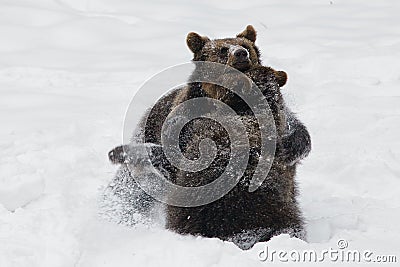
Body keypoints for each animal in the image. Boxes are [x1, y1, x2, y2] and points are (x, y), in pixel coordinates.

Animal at [105, 26, 310, 250]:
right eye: (222, 49)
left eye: (246, 46)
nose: (241, 54)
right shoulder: (181, 123)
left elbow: (295, 131)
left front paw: (291, 145)